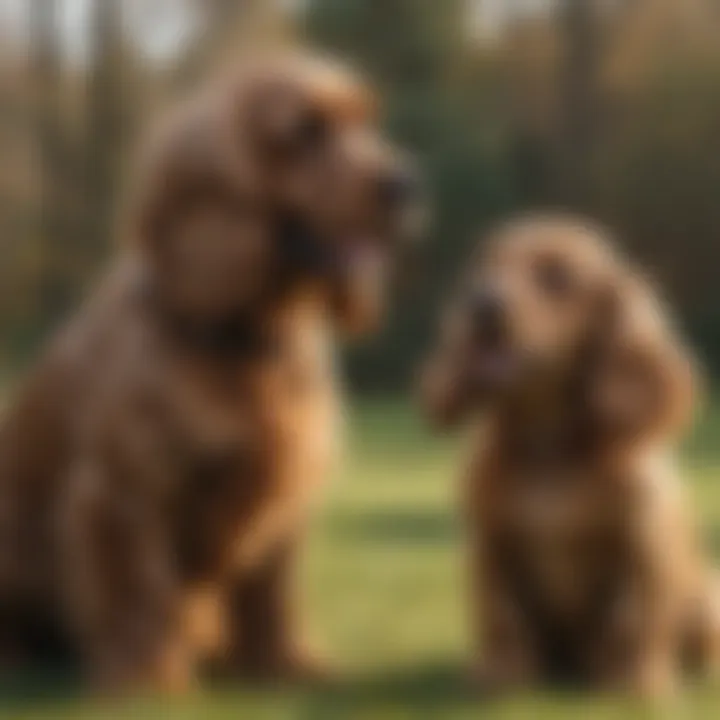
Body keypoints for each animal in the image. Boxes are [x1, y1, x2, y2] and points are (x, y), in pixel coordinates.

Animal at [0, 53, 422, 696]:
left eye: (365, 122)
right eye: (305, 131)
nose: (406, 185)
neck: (246, 337)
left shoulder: (287, 493)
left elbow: (271, 593)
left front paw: (282, 663)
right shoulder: (125, 491)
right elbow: (137, 591)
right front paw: (146, 677)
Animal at [422, 215, 720, 696]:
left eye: (557, 277)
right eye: (484, 265)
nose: (481, 304)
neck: (551, 451)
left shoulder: (642, 543)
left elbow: (633, 621)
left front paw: (636, 685)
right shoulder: (491, 543)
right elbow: (502, 619)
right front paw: (501, 676)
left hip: (708, 599)